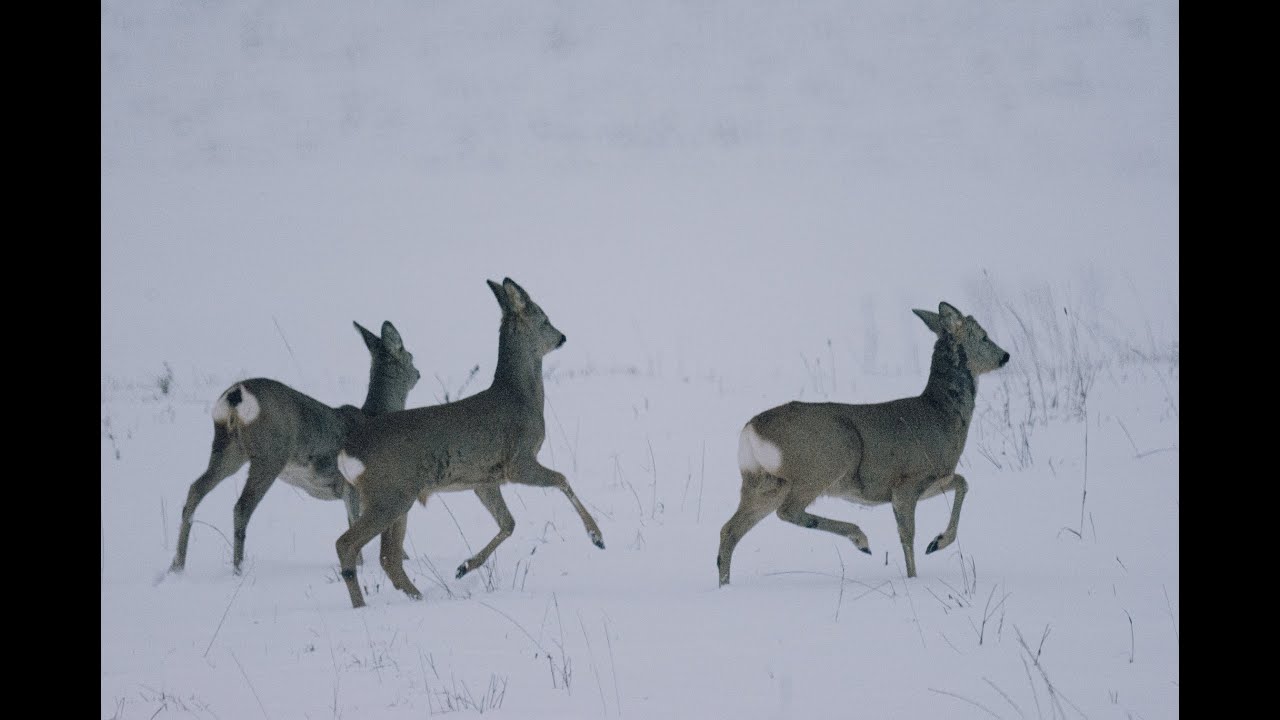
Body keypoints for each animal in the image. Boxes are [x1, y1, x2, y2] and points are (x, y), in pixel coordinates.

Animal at [169, 320, 421, 575]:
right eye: (410, 356)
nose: (419, 373)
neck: (376, 416)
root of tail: (236, 394)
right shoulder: (353, 487)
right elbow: (358, 526)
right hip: (270, 453)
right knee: (241, 506)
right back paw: (237, 569)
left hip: (228, 448)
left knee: (195, 489)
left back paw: (177, 566)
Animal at [334, 278, 605, 608]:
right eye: (544, 318)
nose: (562, 337)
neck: (521, 398)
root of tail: (348, 450)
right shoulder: (518, 461)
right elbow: (562, 480)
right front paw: (597, 537)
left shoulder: (484, 479)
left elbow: (508, 523)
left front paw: (464, 567)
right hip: (389, 494)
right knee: (347, 543)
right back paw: (362, 605)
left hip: (397, 497)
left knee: (389, 558)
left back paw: (424, 596)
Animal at [717, 301, 1010, 586]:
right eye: (984, 337)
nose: (1005, 356)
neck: (941, 416)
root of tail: (751, 430)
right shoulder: (907, 482)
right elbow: (908, 534)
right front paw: (917, 573)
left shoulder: (932, 480)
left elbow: (963, 482)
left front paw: (936, 543)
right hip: (824, 462)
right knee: (787, 511)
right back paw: (861, 539)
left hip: (764, 482)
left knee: (729, 530)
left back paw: (725, 585)